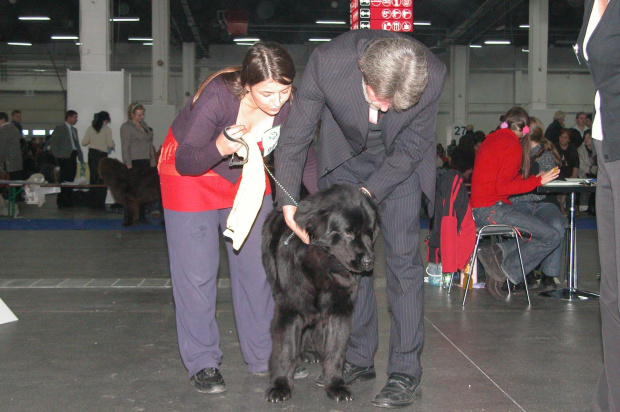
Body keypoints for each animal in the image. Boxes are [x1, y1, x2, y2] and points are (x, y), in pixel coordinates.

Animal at [262, 184, 380, 402]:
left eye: (369, 232)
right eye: (348, 233)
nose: (369, 261)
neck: (323, 266)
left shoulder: (339, 310)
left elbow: (335, 350)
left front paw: (335, 384)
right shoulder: (289, 307)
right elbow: (285, 349)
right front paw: (280, 386)